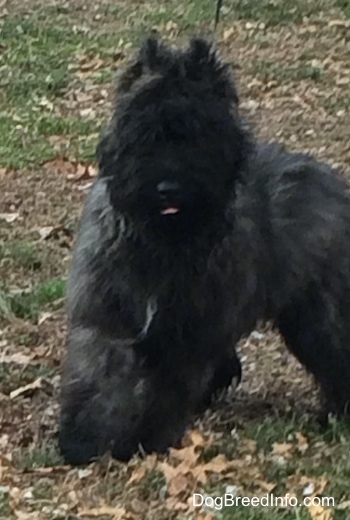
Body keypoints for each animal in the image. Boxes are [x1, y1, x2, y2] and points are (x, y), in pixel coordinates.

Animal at [58, 38, 350, 466]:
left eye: (198, 134)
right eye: (144, 132)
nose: (168, 188)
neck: (162, 242)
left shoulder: (186, 337)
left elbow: (167, 392)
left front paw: (144, 439)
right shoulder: (107, 319)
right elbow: (99, 379)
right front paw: (81, 439)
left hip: (320, 317)